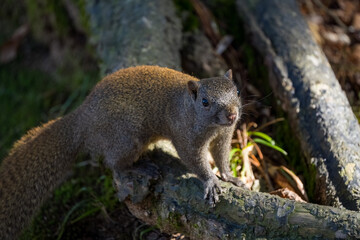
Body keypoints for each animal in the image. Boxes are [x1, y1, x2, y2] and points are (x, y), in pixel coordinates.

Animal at [1, 64, 243, 239]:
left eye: (237, 91)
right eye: (205, 102)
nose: (232, 115)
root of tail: (82, 121)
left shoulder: (224, 135)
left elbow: (221, 156)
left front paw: (229, 176)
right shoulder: (185, 136)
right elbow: (194, 160)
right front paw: (210, 181)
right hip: (127, 140)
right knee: (115, 166)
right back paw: (139, 169)